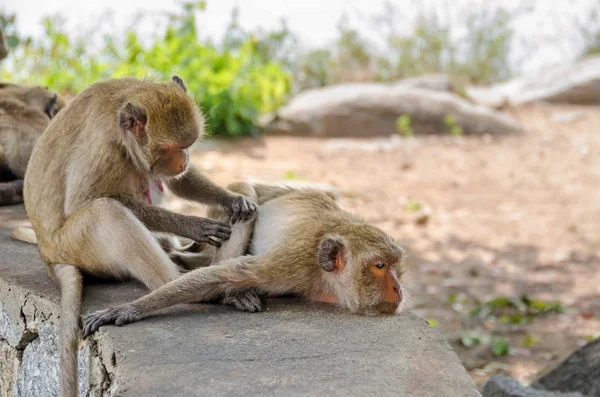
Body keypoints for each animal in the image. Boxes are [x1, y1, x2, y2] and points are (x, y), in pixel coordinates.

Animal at [18, 76, 256, 394]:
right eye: (170, 148)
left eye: (188, 145)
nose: (183, 160)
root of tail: (46, 253)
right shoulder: (104, 148)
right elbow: (83, 202)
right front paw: (193, 225)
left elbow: (178, 182)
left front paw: (232, 200)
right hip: (72, 244)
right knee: (105, 211)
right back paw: (193, 286)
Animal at [82, 182, 406, 334]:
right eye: (379, 266)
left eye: (396, 267)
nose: (398, 289)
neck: (324, 279)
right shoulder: (293, 265)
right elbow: (227, 273)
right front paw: (128, 309)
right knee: (245, 201)